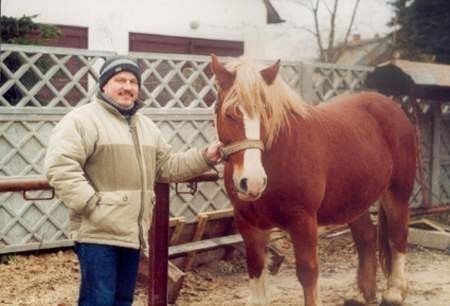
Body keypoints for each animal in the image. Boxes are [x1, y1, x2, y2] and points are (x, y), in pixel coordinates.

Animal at [211, 55, 418, 306]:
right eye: (229, 114)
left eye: (267, 113)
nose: (253, 182)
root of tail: (392, 107)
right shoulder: (249, 225)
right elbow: (256, 270)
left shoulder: (303, 221)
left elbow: (308, 273)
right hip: (353, 200)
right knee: (366, 237)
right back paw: (362, 294)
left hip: (397, 192)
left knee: (398, 234)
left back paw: (394, 292)